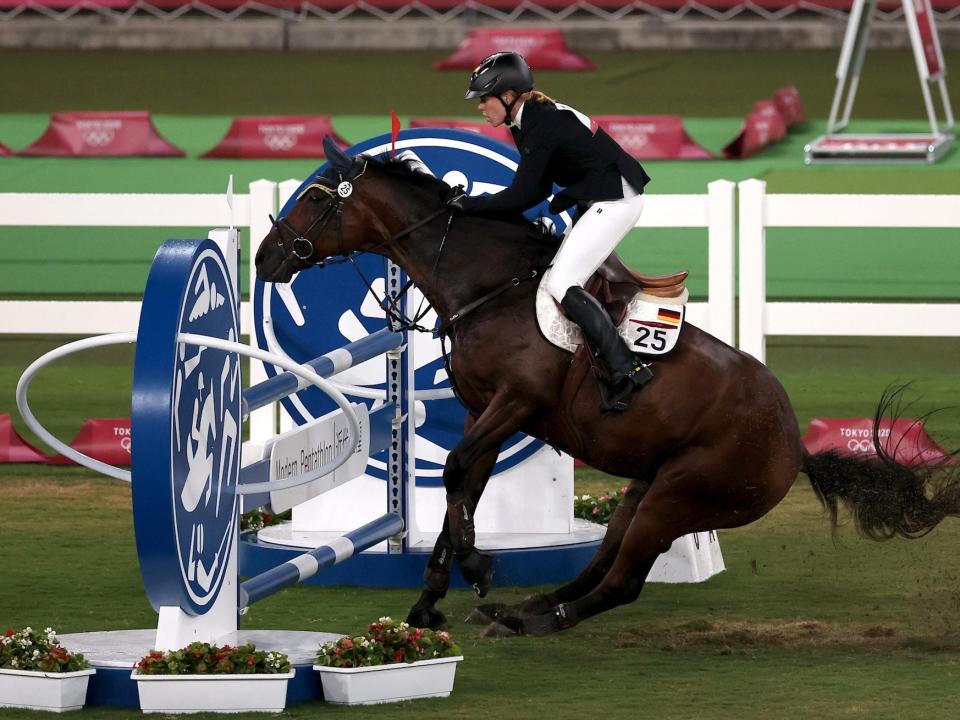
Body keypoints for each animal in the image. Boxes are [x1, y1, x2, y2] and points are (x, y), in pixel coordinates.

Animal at [255, 139, 960, 636]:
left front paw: (474, 570)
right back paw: (522, 609)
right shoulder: (488, 411)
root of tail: (795, 447)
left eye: (316, 197)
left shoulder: (517, 402)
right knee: (599, 565)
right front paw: (434, 598)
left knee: (622, 582)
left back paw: (537, 621)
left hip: (679, 496)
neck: (488, 284)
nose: (264, 259)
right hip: (646, 490)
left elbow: (457, 470)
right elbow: (466, 484)